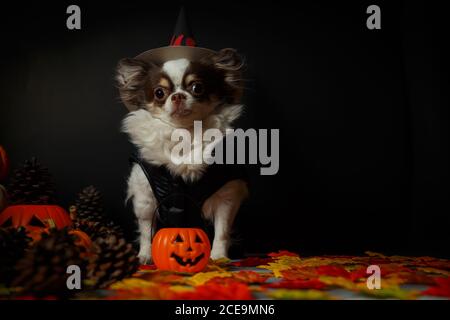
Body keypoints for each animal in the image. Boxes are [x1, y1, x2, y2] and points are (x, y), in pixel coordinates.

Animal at [118, 47, 248, 262]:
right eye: (159, 93)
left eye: (197, 88)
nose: (178, 96)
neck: (185, 133)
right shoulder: (145, 197)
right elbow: (146, 231)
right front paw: (145, 255)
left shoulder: (227, 197)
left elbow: (222, 231)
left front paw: (218, 257)